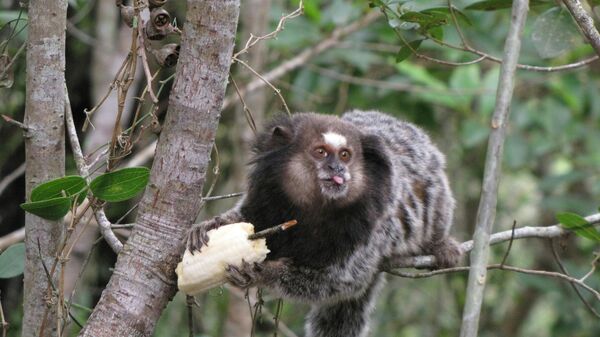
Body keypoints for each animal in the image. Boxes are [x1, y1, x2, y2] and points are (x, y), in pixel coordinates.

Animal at [188, 110, 460, 336]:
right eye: (320, 152)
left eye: (345, 155)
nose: (337, 168)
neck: (314, 209)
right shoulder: (267, 197)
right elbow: (248, 219)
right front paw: (210, 226)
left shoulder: (370, 226)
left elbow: (341, 279)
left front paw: (262, 272)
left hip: (436, 189)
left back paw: (439, 244)